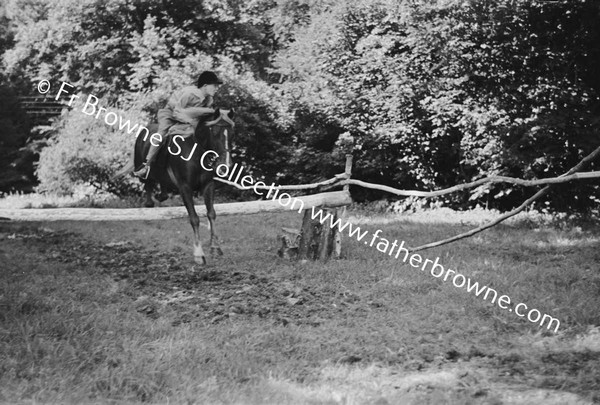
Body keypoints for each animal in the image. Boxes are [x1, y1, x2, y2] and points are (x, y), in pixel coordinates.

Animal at [112, 109, 234, 264]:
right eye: (214, 131)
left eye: (232, 132)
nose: (226, 165)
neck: (197, 152)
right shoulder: (185, 187)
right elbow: (194, 218)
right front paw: (198, 254)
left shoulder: (208, 186)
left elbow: (211, 214)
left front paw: (215, 248)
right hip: (143, 170)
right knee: (148, 185)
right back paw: (150, 200)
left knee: (161, 189)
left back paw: (160, 196)